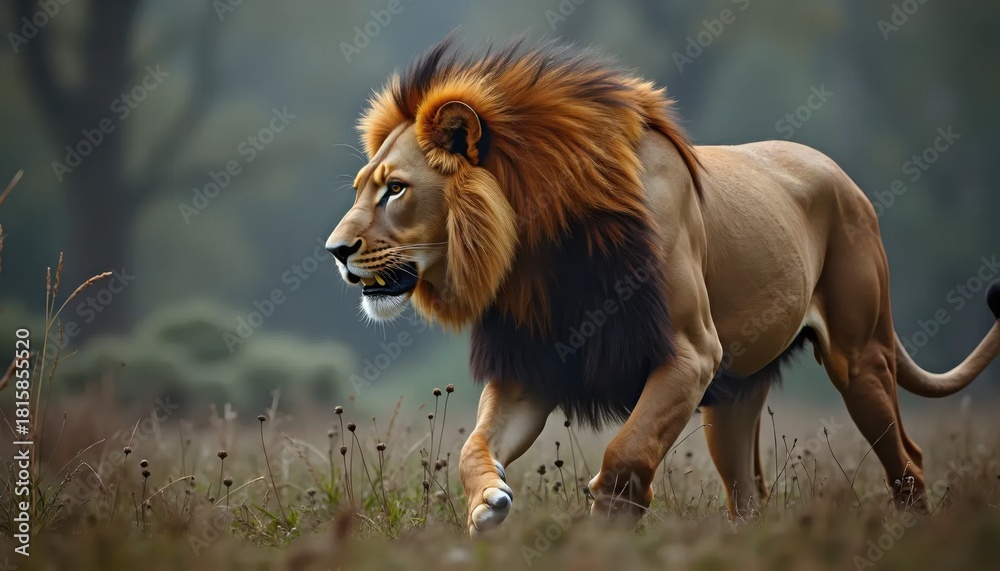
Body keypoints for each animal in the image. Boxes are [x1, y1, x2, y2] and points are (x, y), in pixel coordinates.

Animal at [326, 36, 1000, 535]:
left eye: (395, 189)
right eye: (361, 187)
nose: (334, 251)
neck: (537, 248)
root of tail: (845, 177)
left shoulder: (691, 353)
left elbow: (626, 453)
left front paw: (607, 522)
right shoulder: (531, 367)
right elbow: (472, 446)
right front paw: (486, 505)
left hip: (859, 358)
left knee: (908, 463)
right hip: (734, 400)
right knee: (749, 495)